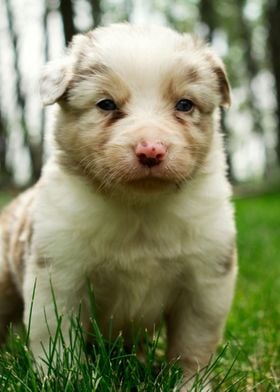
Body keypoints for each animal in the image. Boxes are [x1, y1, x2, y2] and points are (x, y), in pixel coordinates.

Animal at [0, 23, 236, 388]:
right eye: (106, 104)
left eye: (185, 104)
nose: (151, 150)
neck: (139, 207)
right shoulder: (58, 276)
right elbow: (57, 341)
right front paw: (68, 380)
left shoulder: (206, 280)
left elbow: (192, 347)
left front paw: (190, 385)